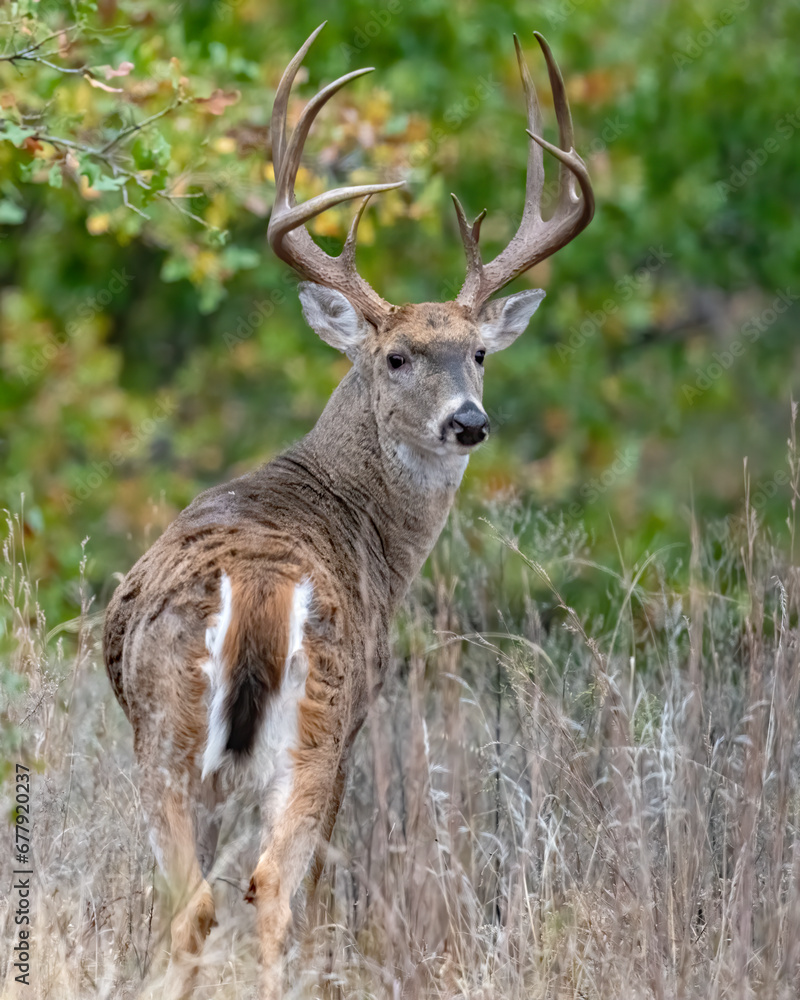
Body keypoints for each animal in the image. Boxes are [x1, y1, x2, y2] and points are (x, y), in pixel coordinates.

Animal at [103, 21, 593, 999]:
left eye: (480, 352)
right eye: (398, 356)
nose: (470, 421)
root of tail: (258, 590)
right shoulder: (357, 721)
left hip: (187, 734)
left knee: (214, 900)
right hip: (292, 730)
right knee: (261, 894)